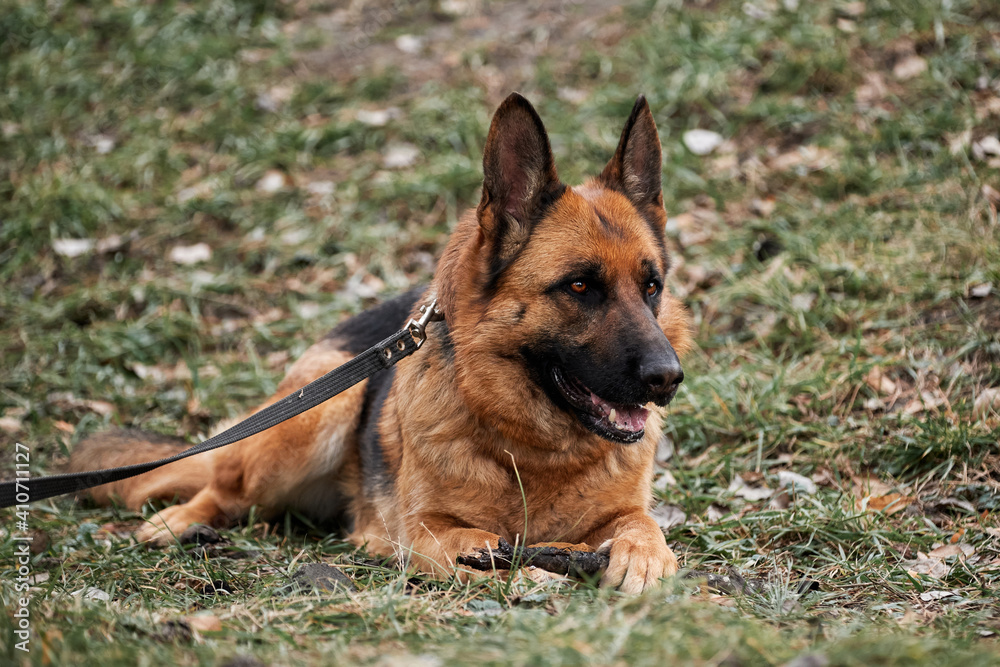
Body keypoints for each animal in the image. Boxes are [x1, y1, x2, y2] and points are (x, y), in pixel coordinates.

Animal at [72, 94, 696, 596]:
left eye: (651, 287)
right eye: (579, 286)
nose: (667, 377)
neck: (535, 454)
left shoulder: (626, 509)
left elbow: (645, 527)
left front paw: (641, 559)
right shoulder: (425, 531)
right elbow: (478, 541)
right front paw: (531, 566)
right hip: (321, 412)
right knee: (221, 489)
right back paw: (179, 522)